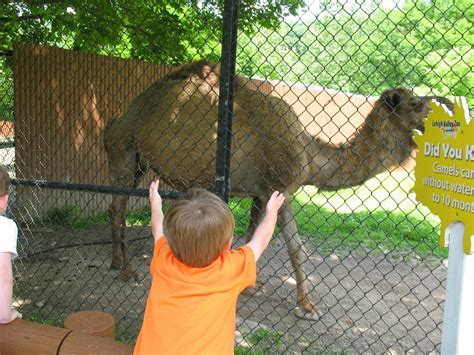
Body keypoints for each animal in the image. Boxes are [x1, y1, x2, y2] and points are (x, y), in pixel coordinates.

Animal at [103, 61, 448, 320]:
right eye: (416, 104)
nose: (446, 112)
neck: (308, 154)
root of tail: (116, 120)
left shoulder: (260, 191)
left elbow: (251, 235)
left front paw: (249, 286)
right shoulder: (279, 186)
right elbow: (295, 246)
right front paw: (308, 307)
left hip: (138, 163)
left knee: (115, 207)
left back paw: (116, 263)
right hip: (124, 151)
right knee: (118, 207)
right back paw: (128, 272)